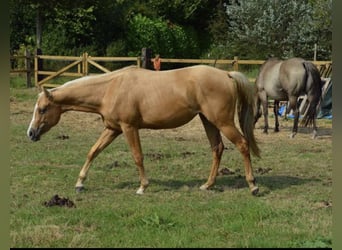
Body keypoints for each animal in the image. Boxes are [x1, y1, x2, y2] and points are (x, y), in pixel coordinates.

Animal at [27, 64, 260, 195]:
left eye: (43, 109)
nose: (30, 133)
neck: (110, 88)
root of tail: (227, 74)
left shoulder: (129, 127)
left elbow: (137, 156)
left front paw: (142, 187)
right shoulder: (112, 129)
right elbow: (93, 151)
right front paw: (79, 184)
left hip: (222, 122)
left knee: (242, 144)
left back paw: (253, 186)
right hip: (208, 121)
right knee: (217, 148)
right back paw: (207, 185)